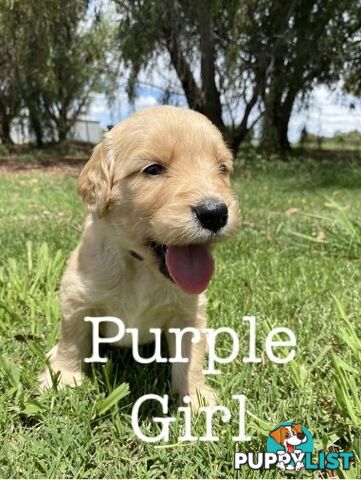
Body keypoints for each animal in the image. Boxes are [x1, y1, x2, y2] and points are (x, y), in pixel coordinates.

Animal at [38, 107, 238, 406]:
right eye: (153, 169)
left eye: (222, 169)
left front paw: (196, 397)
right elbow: (73, 339)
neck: (139, 266)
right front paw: (64, 377)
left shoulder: (188, 314)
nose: (215, 213)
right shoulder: (77, 298)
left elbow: (190, 359)